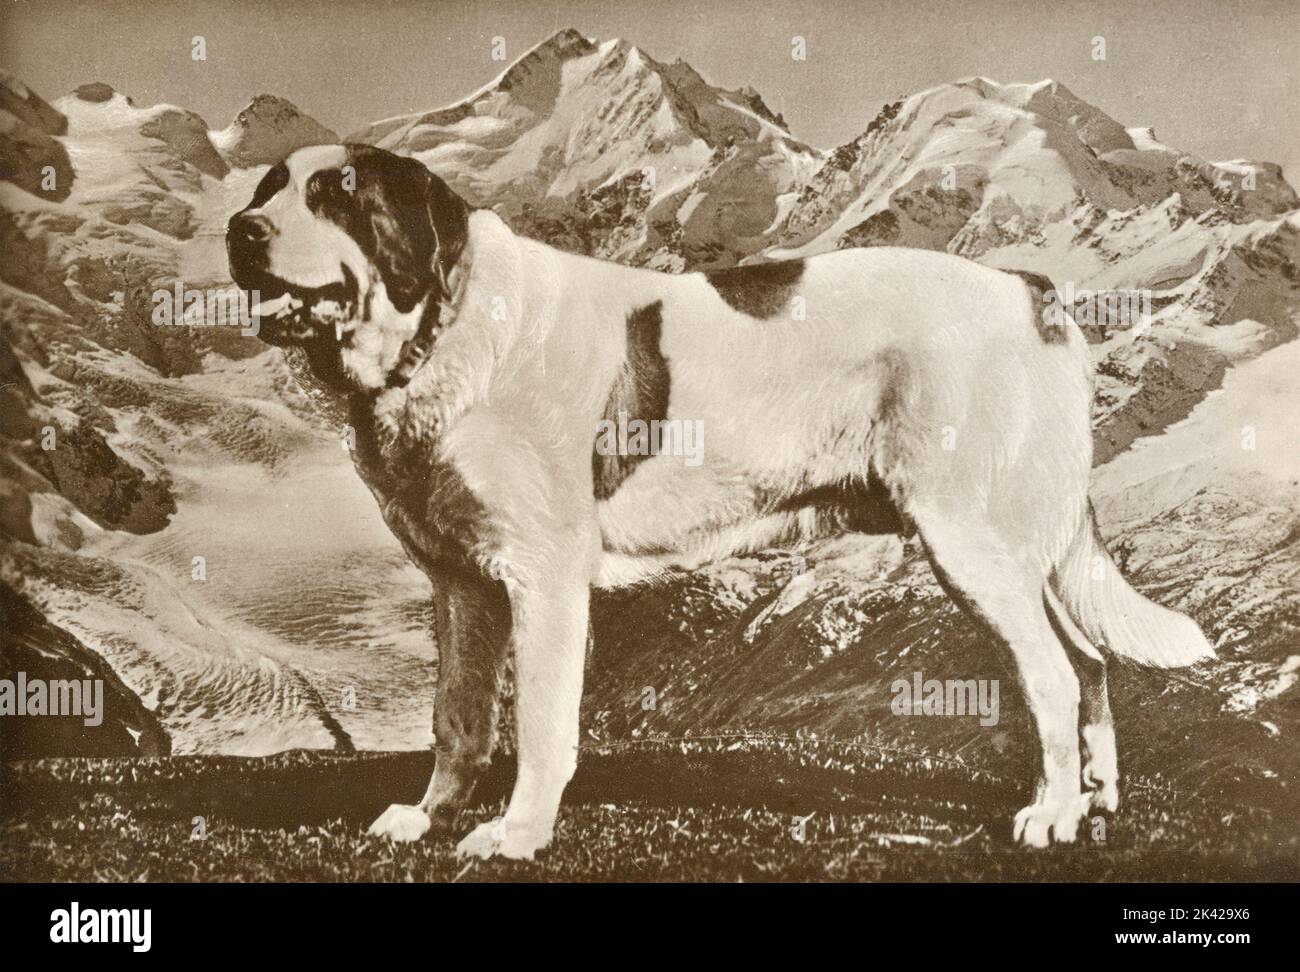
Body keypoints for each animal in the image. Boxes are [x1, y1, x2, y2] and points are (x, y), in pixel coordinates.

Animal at [228, 142, 1211, 857]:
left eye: (337, 193)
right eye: (272, 186)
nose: (240, 230)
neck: (448, 325)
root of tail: (1028, 291)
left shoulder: (544, 580)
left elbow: (541, 722)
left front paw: (516, 833)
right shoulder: (462, 585)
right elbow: (457, 718)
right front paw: (427, 818)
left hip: (971, 542)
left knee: (1051, 672)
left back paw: (1051, 817)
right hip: (1020, 550)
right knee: (1088, 660)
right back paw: (1095, 800)